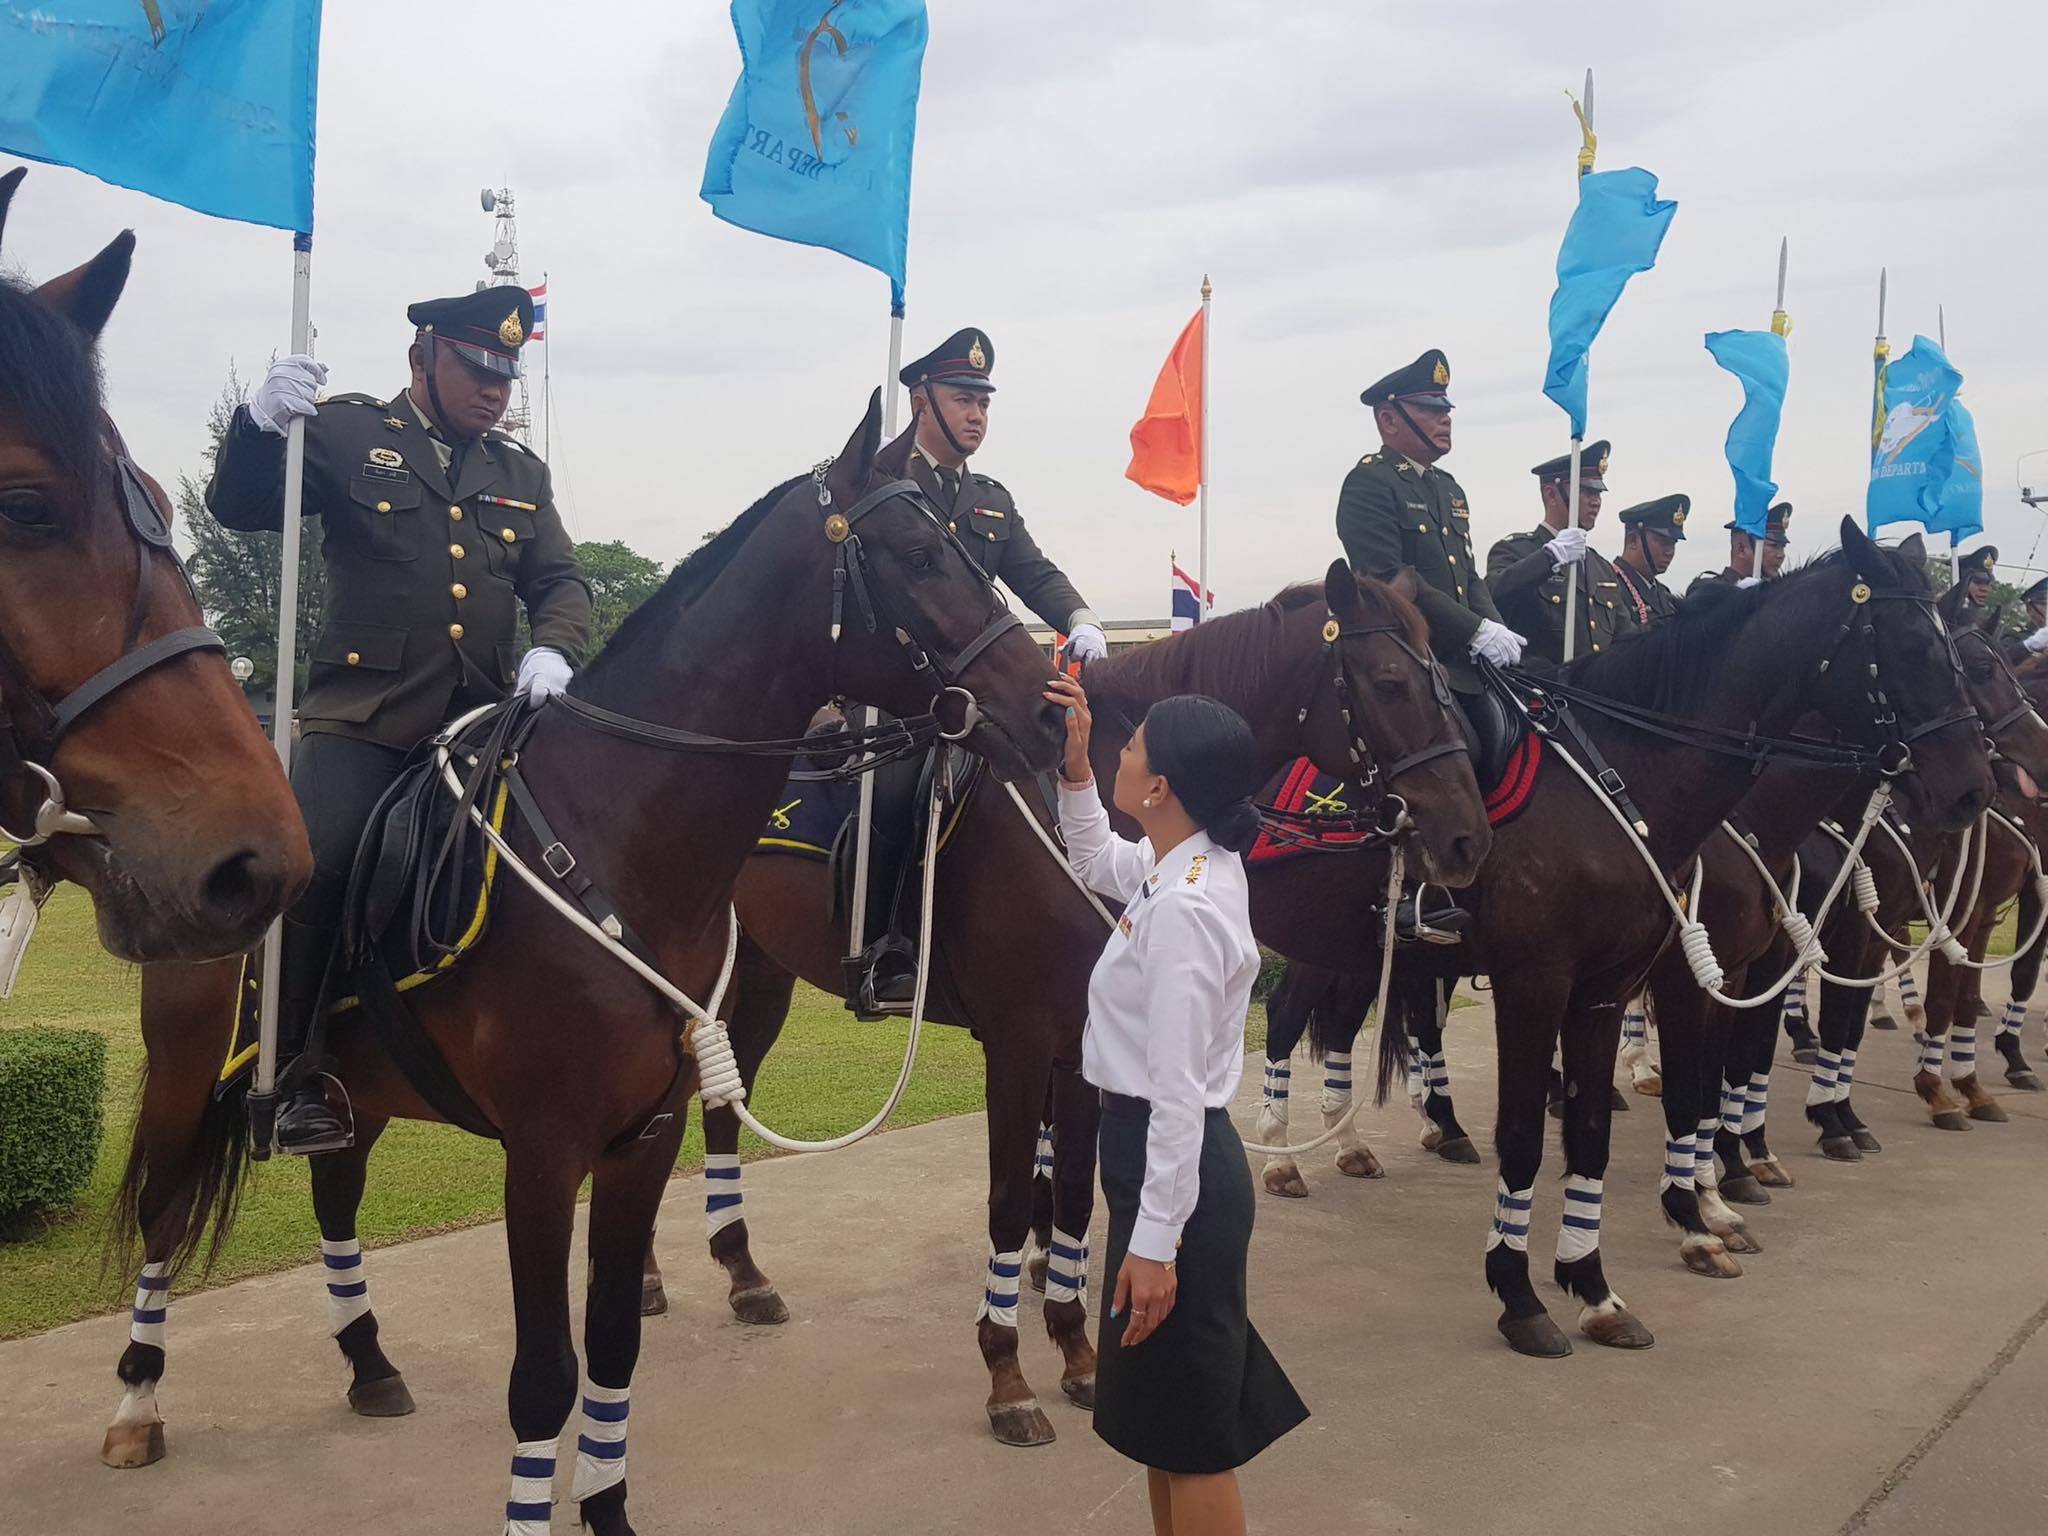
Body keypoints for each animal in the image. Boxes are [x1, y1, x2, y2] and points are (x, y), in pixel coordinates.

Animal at [103, 399, 1064, 1536]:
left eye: (972, 542)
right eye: (920, 552)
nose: (1050, 706)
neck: (622, 832)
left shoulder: (641, 1134)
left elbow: (610, 1346)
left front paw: (608, 1505)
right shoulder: (544, 1151)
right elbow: (543, 1375)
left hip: (362, 1082)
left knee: (335, 1192)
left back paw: (370, 1363)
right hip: (188, 1066)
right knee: (162, 1211)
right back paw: (137, 1401)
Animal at [671, 561, 1490, 1441]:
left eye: (1448, 683)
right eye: (1391, 682)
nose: (1466, 838)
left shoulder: (1081, 1046)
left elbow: (1069, 1193)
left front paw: (1075, 1351)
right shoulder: (1021, 1042)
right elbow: (1007, 1202)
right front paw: (1007, 1376)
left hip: (761, 972)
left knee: (713, 1099)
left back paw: (737, 1274)